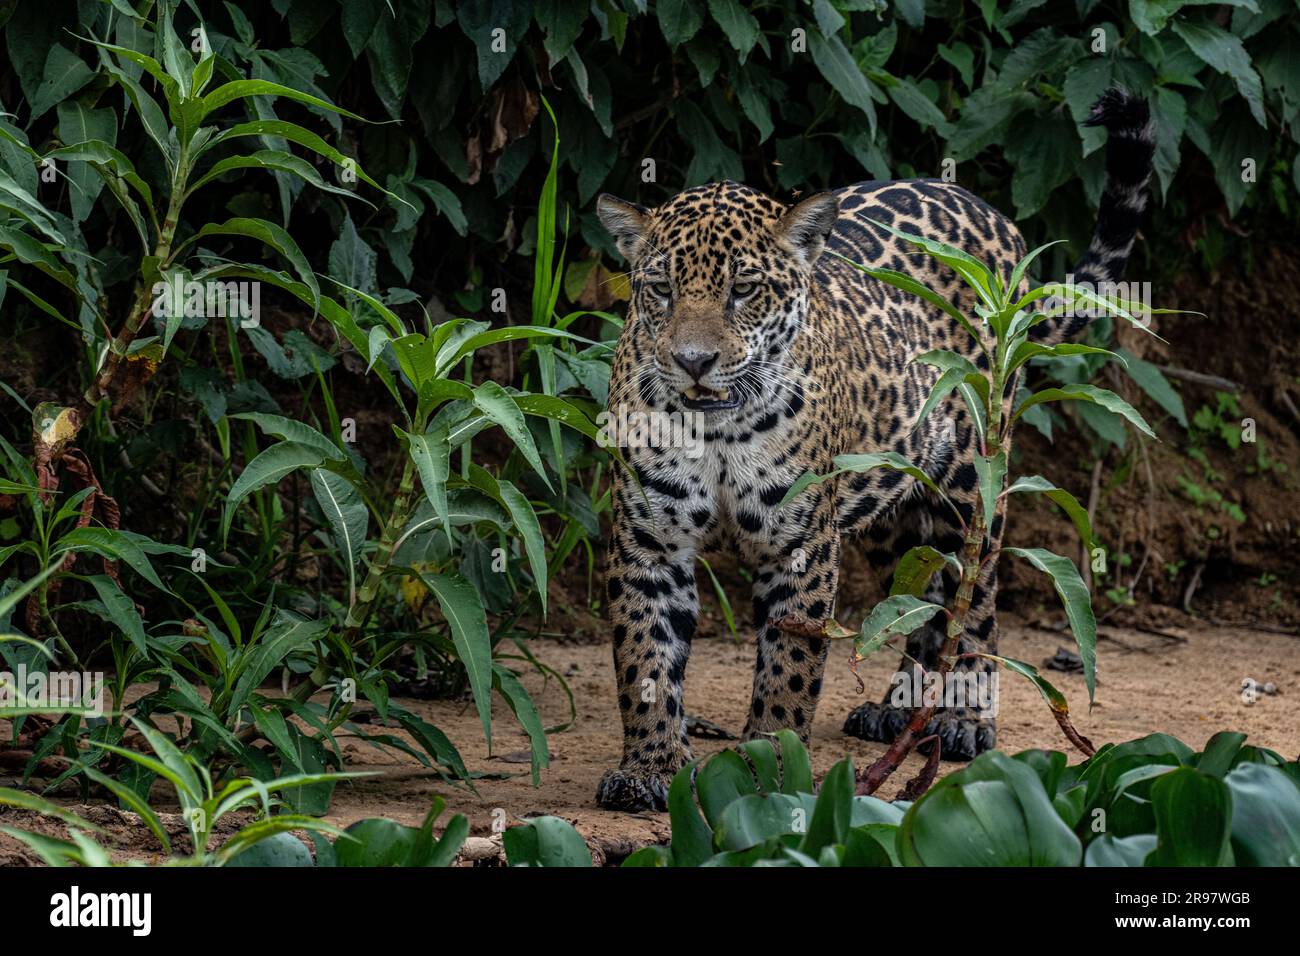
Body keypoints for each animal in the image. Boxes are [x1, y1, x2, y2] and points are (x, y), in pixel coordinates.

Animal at [593, 88, 1156, 811]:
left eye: (743, 289)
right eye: (661, 289)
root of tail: (991, 213)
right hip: (892, 495)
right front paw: (650, 767)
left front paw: (770, 763)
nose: (694, 362)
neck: (717, 430)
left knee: (975, 598)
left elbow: (789, 670)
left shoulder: (800, 546)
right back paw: (898, 708)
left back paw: (962, 717)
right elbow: (645, 660)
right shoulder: (648, 545)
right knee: (924, 591)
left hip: (975, 476)